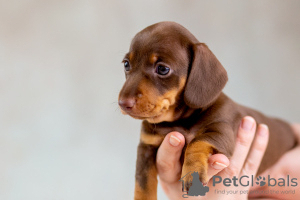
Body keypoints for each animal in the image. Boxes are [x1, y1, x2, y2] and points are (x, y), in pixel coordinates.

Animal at [118, 21, 298, 199]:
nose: (123, 103)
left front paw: (193, 172)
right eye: (126, 64)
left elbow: (197, 142)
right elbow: (143, 184)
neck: (179, 121)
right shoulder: (146, 149)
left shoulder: (221, 133)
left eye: (162, 69)